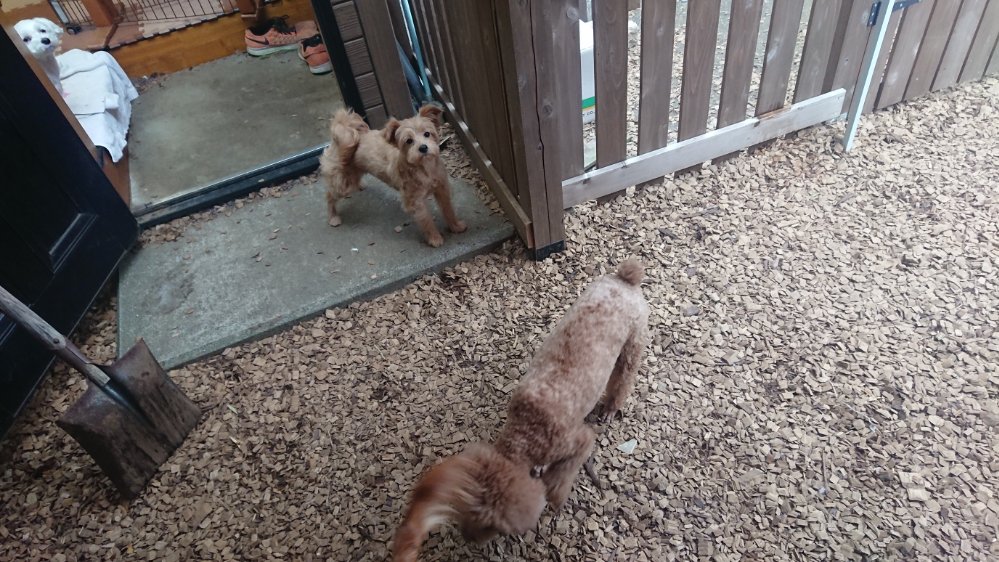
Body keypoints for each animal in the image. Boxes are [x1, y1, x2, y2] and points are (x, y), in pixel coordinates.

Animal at [319, 104, 466, 247]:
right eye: (408, 141)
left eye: (427, 134)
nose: (423, 147)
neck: (424, 167)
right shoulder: (415, 202)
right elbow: (426, 220)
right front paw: (434, 238)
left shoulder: (442, 190)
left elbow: (448, 210)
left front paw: (455, 226)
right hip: (343, 185)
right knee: (329, 195)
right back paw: (333, 217)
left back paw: (360, 185)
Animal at [392, 260, 650, 561]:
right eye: (466, 511)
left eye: (492, 525)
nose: (468, 539)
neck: (527, 430)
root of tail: (625, 279)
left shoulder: (578, 441)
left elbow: (563, 474)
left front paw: (556, 496)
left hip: (632, 344)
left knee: (623, 379)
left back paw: (610, 408)